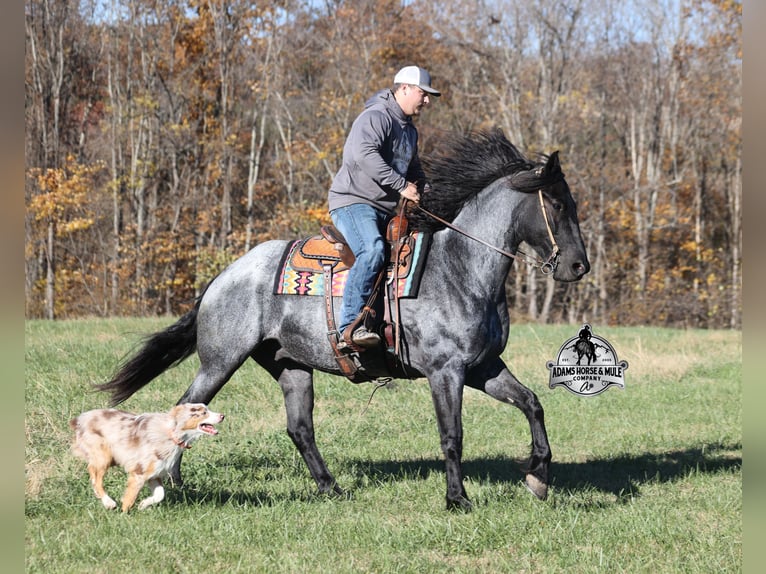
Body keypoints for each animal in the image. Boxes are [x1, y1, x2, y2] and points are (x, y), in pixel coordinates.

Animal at [96, 129, 590, 511]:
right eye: (556, 204)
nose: (578, 266)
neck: (459, 268)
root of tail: (224, 275)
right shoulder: (445, 372)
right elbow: (453, 434)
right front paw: (458, 500)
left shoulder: (482, 367)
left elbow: (532, 404)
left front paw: (538, 477)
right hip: (220, 361)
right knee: (188, 407)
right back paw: (172, 482)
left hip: (291, 366)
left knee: (299, 429)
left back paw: (331, 489)